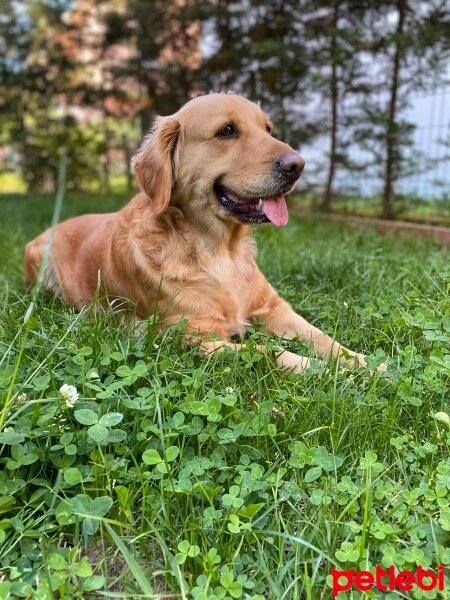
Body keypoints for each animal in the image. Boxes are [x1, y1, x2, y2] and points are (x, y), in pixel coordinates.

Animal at [23, 93, 370, 372]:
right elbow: (268, 352)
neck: (220, 250)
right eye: (227, 130)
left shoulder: (273, 308)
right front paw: (331, 371)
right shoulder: (191, 336)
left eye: (269, 129)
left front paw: (361, 362)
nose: (297, 165)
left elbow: (321, 336)